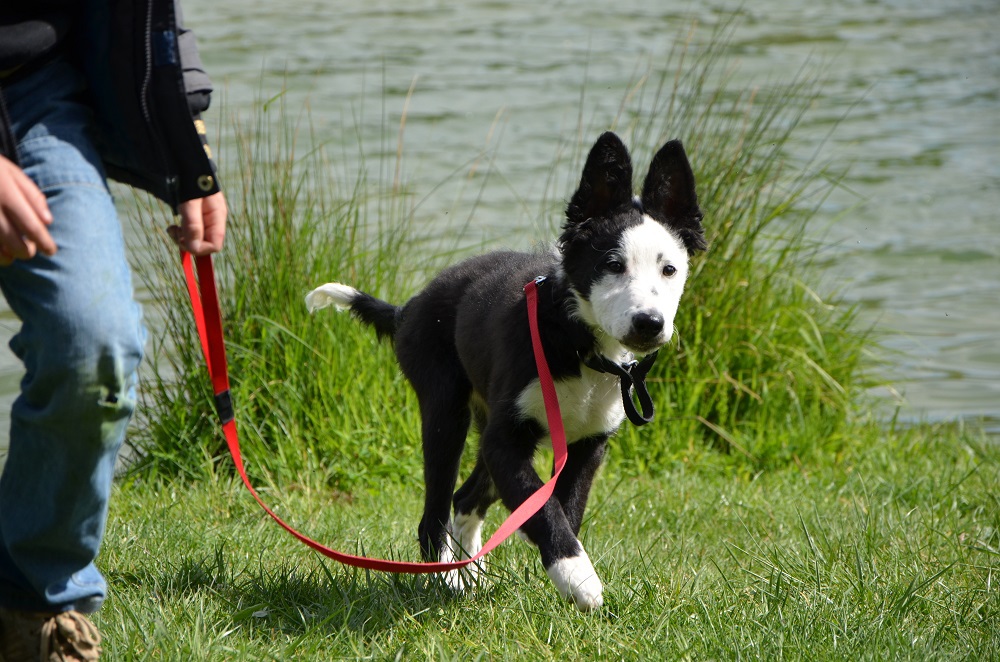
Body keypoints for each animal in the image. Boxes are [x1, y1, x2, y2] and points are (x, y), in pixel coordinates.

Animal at [304, 132, 704, 616]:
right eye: (612, 265)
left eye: (670, 269)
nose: (649, 323)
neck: (576, 343)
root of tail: (407, 309)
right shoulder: (506, 439)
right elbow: (542, 508)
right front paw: (580, 579)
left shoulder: (588, 445)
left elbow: (562, 507)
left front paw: (564, 578)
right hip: (444, 410)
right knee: (434, 513)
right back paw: (448, 581)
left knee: (465, 498)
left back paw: (471, 572)